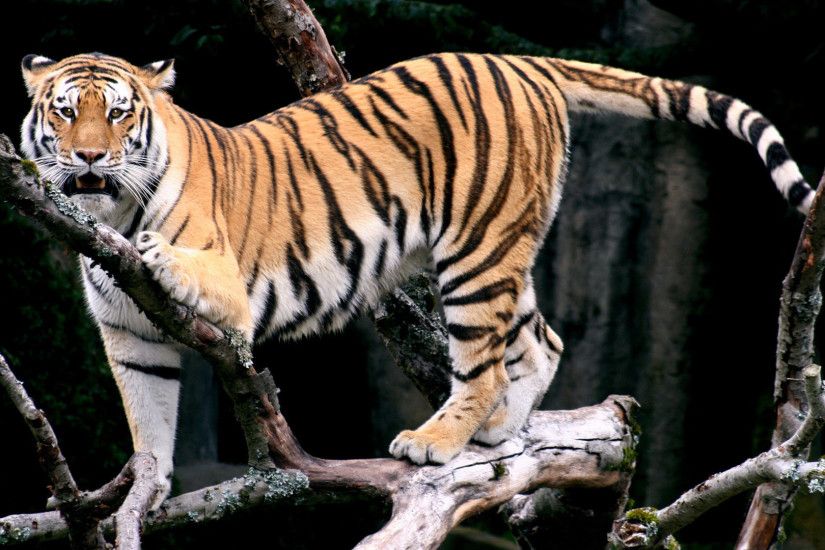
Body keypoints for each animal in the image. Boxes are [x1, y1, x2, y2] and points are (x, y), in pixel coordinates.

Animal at [20, 51, 813, 506]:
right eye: (64, 112)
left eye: (118, 114)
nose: (88, 158)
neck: (111, 213)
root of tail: (521, 62)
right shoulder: (129, 337)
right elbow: (148, 419)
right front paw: (149, 488)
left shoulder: (231, 293)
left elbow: (183, 268)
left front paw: (156, 251)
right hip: (501, 247)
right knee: (542, 341)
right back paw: (498, 431)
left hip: (475, 252)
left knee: (483, 364)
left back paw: (438, 440)